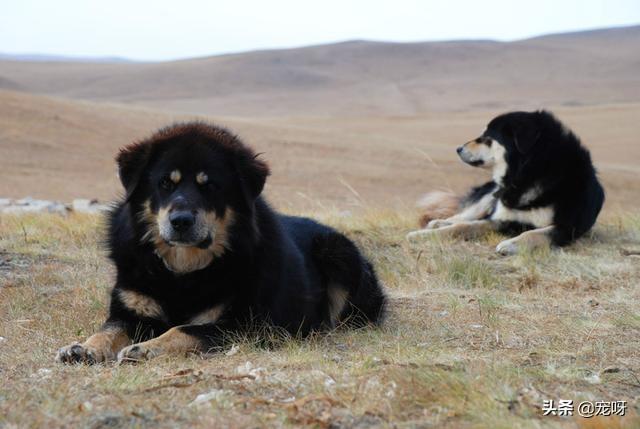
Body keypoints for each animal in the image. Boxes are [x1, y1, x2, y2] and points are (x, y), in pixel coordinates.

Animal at [56, 122, 384, 362]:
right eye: (165, 183)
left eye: (210, 185)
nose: (181, 221)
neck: (182, 272)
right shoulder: (129, 311)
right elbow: (108, 330)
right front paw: (84, 347)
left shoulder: (241, 324)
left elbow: (183, 329)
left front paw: (147, 348)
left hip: (337, 253)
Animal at [410, 108, 604, 254]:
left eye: (487, 138)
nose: (458, 148)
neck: (528, 172)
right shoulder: (501, 219)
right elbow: (463, 226)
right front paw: (422, 235)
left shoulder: (565, 227)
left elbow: (534, 233)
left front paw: (511, 244)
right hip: (490, 196)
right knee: (462, 216)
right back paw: (438, 223)